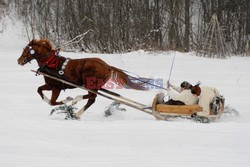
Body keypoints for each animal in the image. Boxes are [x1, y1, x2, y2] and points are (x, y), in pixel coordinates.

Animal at [17, 38, 146, 118]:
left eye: (25, 50)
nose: (19, 61)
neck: (50, 62)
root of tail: (107, 66)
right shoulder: (50, 85)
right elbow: (39, 90)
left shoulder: (56, 87)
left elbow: (53, 102)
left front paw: (68, 100)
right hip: (94, 86)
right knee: (91, 98)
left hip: (90, 85)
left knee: (92, 98)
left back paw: (76, 108)